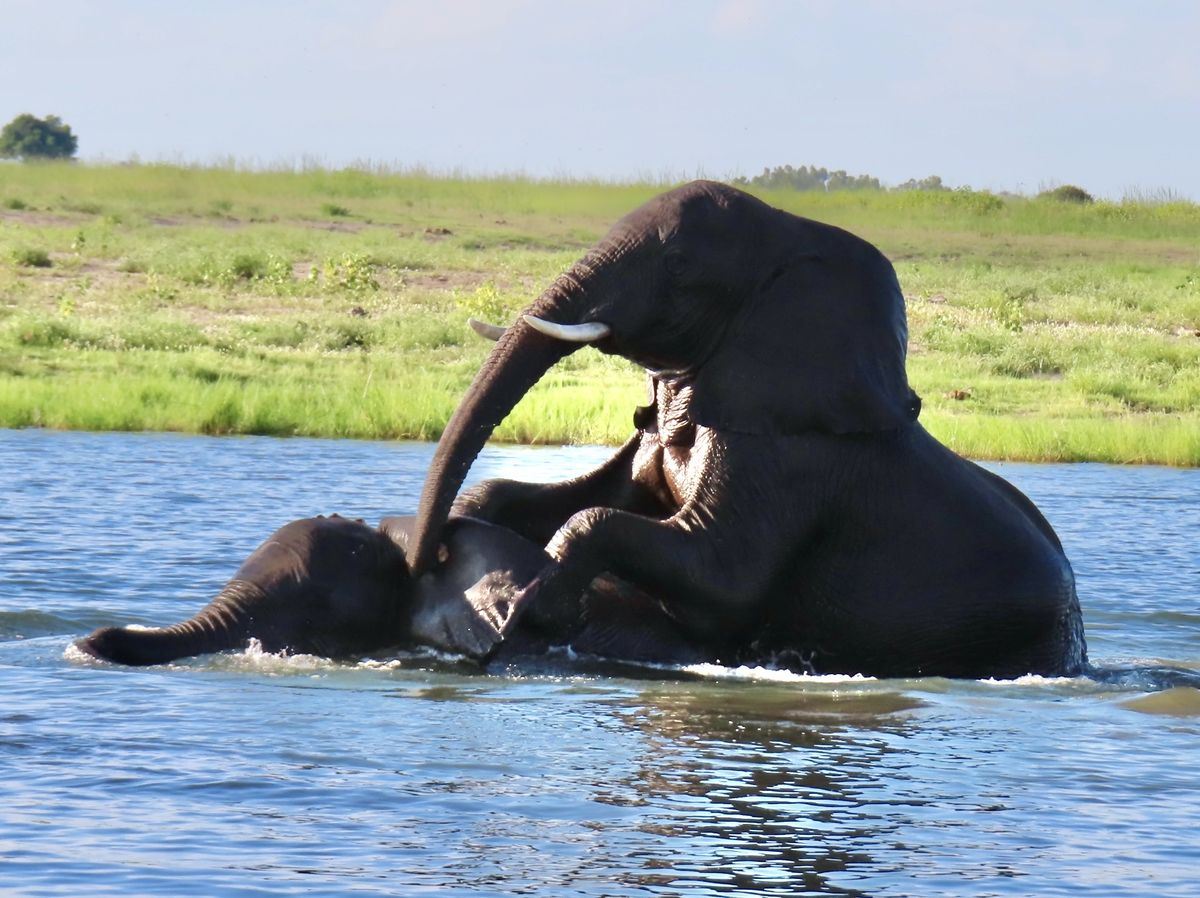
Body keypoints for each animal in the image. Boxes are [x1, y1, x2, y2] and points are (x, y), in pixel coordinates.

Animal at [406, 180, 1088, 680]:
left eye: (677, 264)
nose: (425, 559)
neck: (789, 236)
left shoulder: (793, 455)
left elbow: (718, 576)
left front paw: (543, 604)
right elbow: (561, 497)